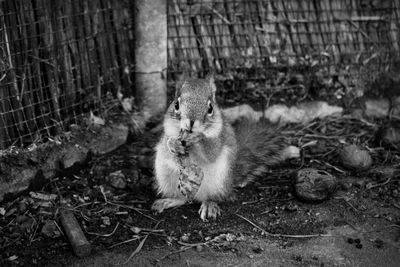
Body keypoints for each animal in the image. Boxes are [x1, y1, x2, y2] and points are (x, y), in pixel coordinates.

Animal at [152, 76, 298, 222]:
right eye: (176, 104)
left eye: (210, 108)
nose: (191, 122)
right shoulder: (168, 132)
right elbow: (167, 146)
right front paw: (173, 143)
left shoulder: (220, 137)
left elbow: (212, 153)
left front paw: (199, 137)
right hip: (165, 176)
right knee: (184, 198)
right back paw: (168, 201)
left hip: (220, 180)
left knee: (214, 197)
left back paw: (209, 205)